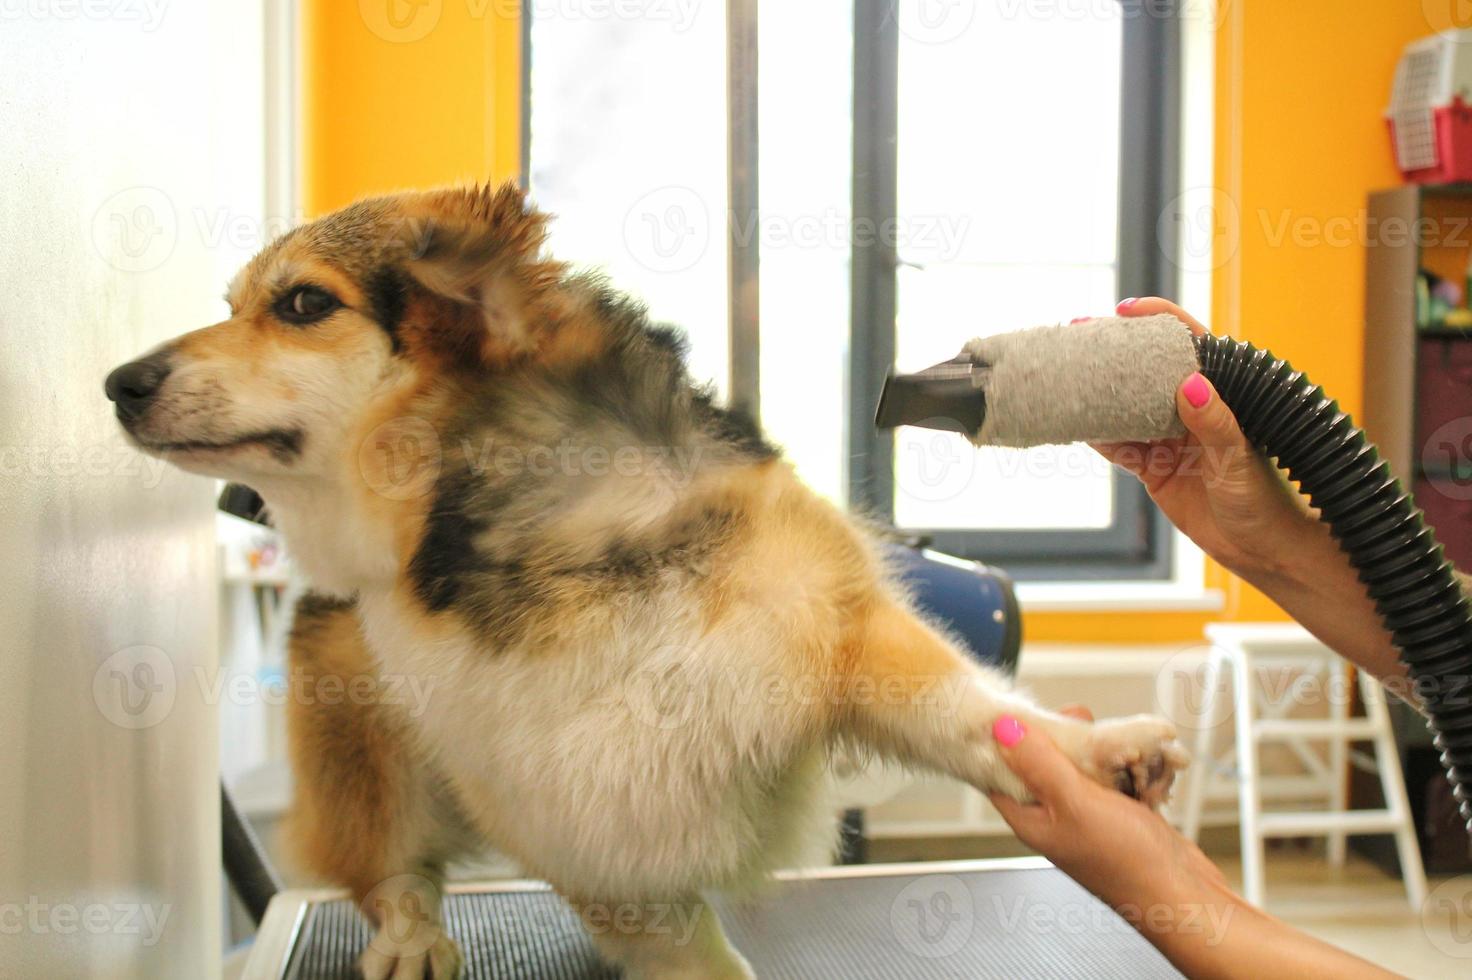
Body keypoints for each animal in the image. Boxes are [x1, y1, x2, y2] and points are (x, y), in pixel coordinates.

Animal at [103, 179, 1189, 971]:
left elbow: (981, 716)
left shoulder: (834, 627)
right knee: (386, 867)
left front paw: (1096, 754)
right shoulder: (561, 805)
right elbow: (669, 937)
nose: (118, 382)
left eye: (301, 304)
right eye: (236, 305)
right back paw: (412, 937)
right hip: (364, 738)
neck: (550, 537)